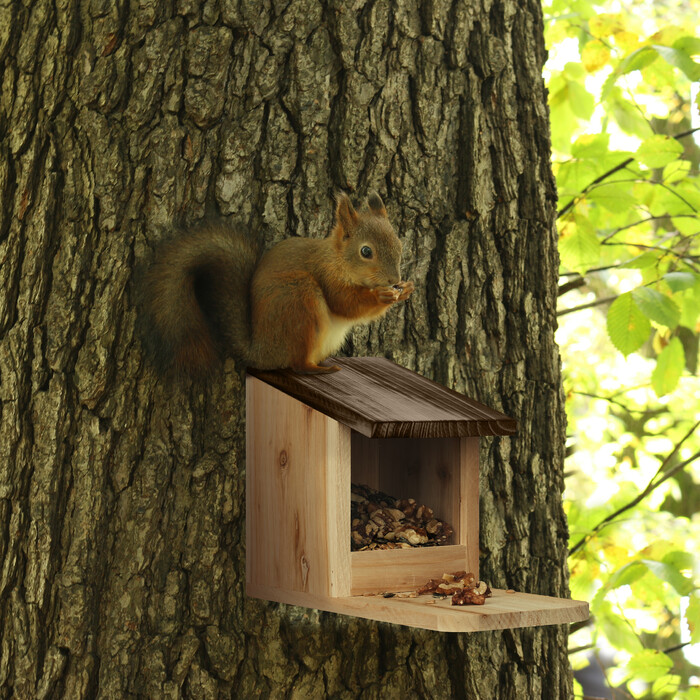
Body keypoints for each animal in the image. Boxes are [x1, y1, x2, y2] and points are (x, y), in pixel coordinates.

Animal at [142, 191, 416, 374]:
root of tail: (262, 352)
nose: (394, 279)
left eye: (399, 244)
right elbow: (346, 303)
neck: (337, 259)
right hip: (298, 300)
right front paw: (382, 296)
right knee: (297, 364)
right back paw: (317, 369)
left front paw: (406, 290)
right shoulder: (326, 275)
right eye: (366, 251)